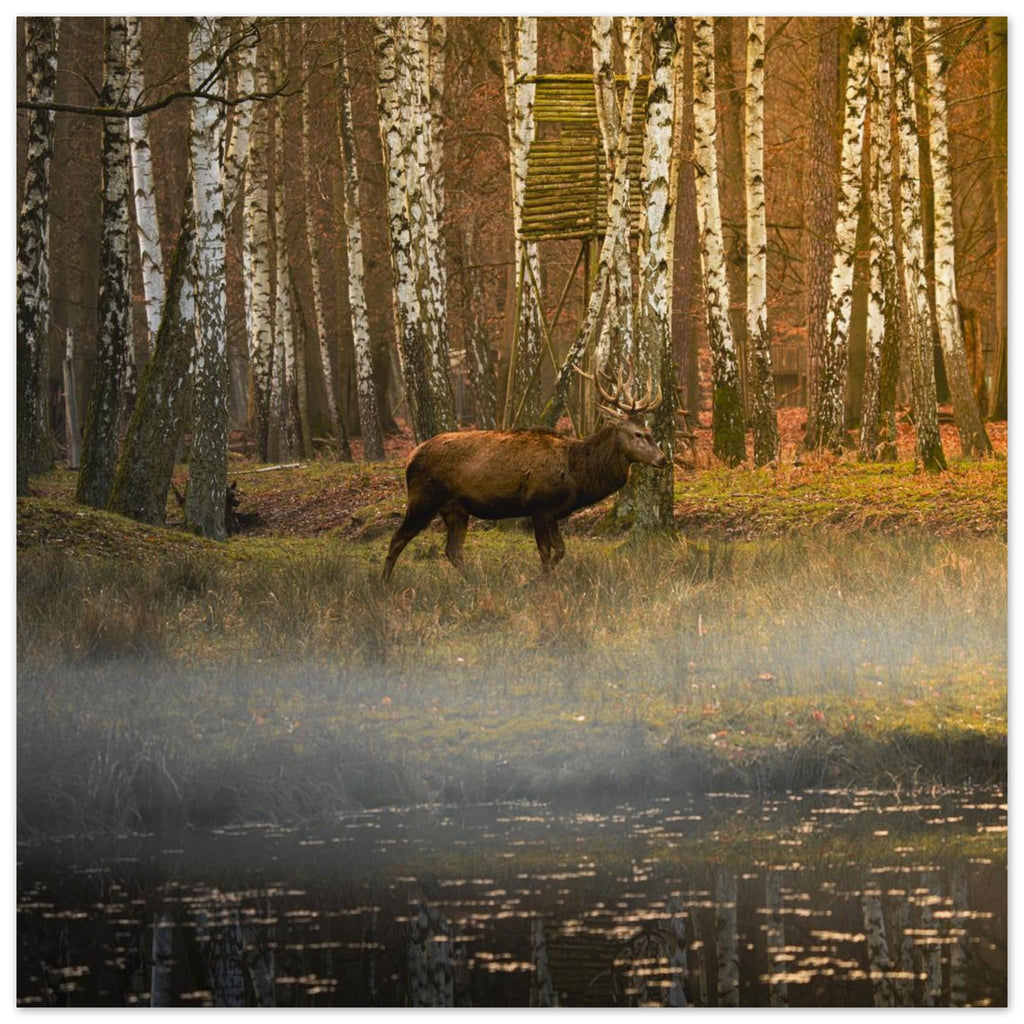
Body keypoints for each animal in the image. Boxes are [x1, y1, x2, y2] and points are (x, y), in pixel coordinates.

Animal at [382, 363, 667, 581]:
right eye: (638, 433)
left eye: (650, 431)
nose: (663, 459)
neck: (576, 475)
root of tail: (410, 457)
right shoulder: (538, 506)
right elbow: (546, 552)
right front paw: (539, 582)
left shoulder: (553, 512)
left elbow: (560, 550)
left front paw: (542, 579)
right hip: (424, 498)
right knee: (397, 538)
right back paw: (384, 583)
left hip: (456, 510)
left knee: (453, 551)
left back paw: (475, 581)